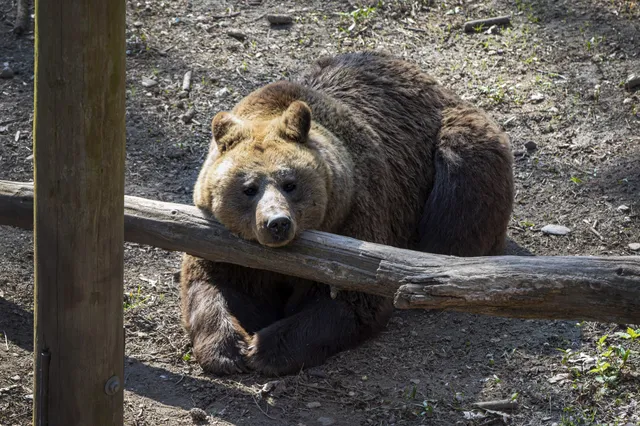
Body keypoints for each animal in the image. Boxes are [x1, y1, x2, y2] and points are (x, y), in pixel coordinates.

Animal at [180, 50, 516, 376]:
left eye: (290, 184)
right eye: (249, 188)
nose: (277, 223)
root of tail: (432, 81)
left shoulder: (355, 216)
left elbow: (352, 299)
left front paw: (265, 350)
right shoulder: (218, 240)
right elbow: (212, 283)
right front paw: (229, 350)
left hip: (451, 151)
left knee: (459, 191)